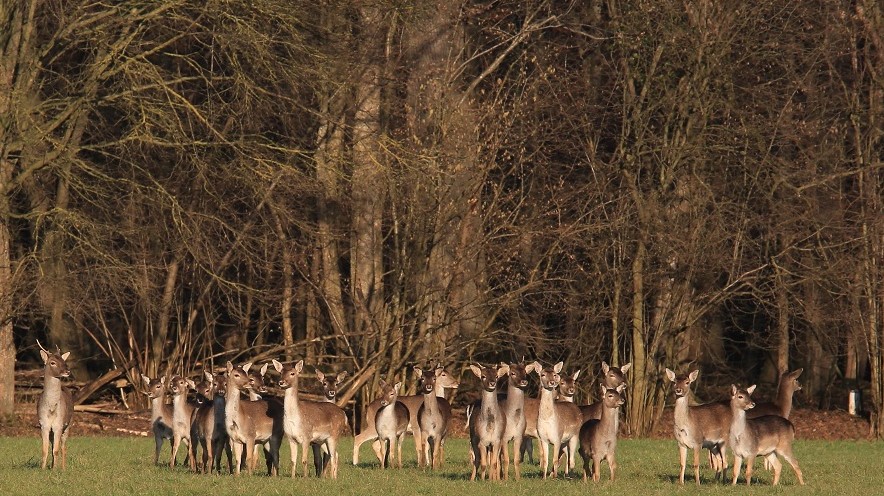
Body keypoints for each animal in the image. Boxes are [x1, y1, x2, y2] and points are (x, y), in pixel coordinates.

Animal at [36, 340, 73, 468]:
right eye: (52, 362)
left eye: (64, 360)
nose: (67, 371)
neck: (51, 408)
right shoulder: (44, 424)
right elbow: (45, 449)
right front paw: (42, 469)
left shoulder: (59, 425)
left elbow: (56, 450)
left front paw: (55, 469)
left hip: (69, 424)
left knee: (63, 447)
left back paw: (63, 468)